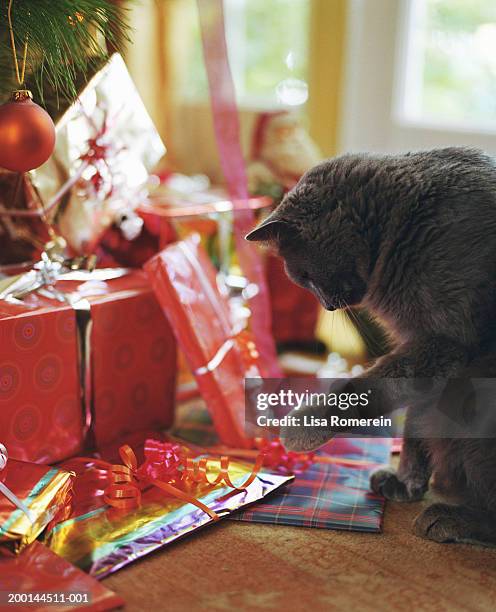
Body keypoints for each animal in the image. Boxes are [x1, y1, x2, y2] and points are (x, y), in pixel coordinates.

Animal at [246, 147, 496, 544]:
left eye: (304, 276)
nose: (327, 307)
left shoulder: (442, 342)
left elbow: (362, 387)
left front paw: (297, 428)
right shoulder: (422, 347)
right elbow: (415, 427)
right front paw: (406, 484)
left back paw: (450, 518)